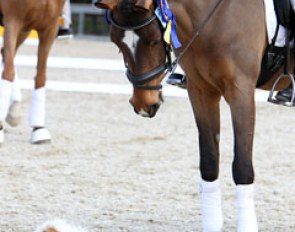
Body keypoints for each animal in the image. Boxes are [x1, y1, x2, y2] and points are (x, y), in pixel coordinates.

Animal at [0, 0, 65, 144]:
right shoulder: (13, 20)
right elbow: (8, 72)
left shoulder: (49, 27)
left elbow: (41, 76)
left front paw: (38, 128)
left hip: (25, 30)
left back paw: (13, 111)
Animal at [95, 0, 294, 231]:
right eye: (117, 43)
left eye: (154, 40)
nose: (143, 104)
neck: (215, 17)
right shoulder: (201, 91)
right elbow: (208, 161)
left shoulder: (241, 91)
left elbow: (242, 165)